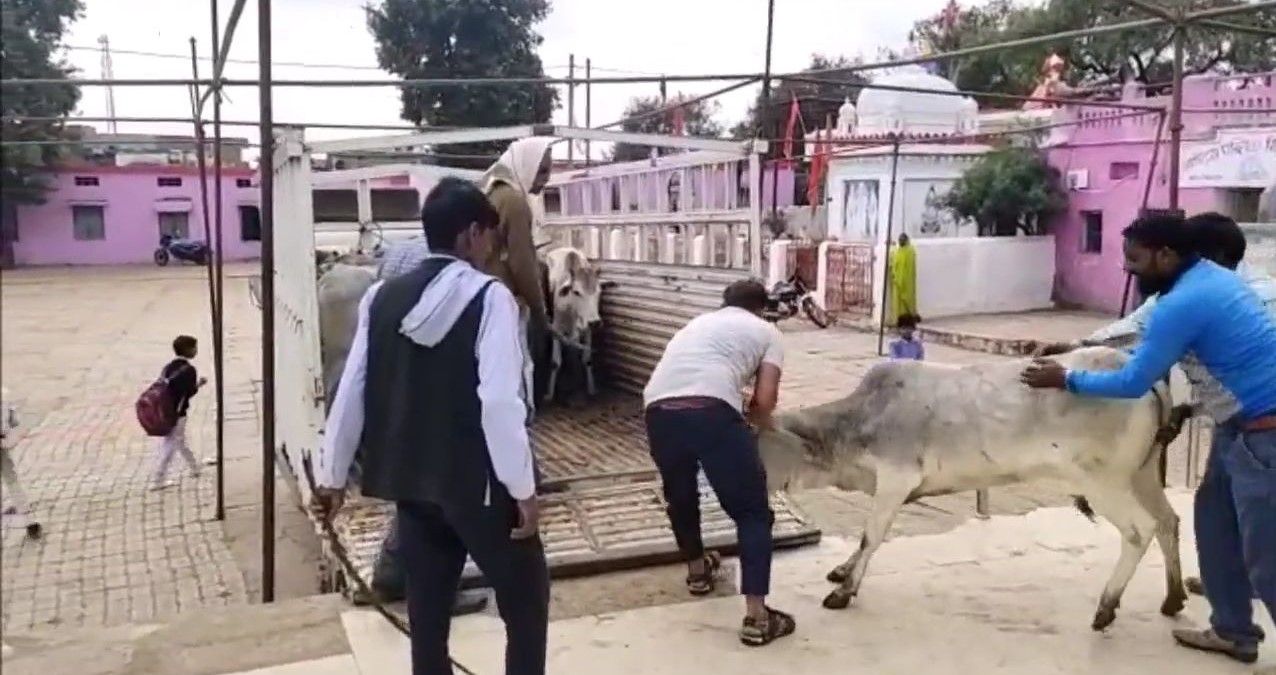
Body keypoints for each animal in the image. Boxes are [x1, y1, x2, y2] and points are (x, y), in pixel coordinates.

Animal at [755, 347, 1184, 632]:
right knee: (1168, 521)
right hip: (1142, 474)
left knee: (1139, 530)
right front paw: (843, 570)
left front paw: (845, 591)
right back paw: (1173, 598)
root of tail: (1145, 375)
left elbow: (871, 536)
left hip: (1102, 481)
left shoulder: (896, 479)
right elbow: (866, 540)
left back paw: (1106, 607)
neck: (855, 424)